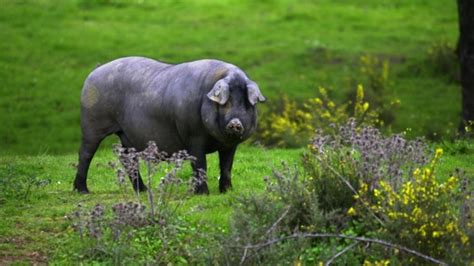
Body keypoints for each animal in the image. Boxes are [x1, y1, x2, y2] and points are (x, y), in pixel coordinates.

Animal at [74, 56, 266, 193]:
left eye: (246, 104)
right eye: (225, 103)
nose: (235, 123)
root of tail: (95, 70)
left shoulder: (229, 145)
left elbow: (226, 166)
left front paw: (227, 191)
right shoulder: (193, 136)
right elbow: (199, 164)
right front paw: (202, 194)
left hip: (125, 133)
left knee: (126, 157)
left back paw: (143, 190)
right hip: (92, 122)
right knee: (85, 153)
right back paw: (82, 191)